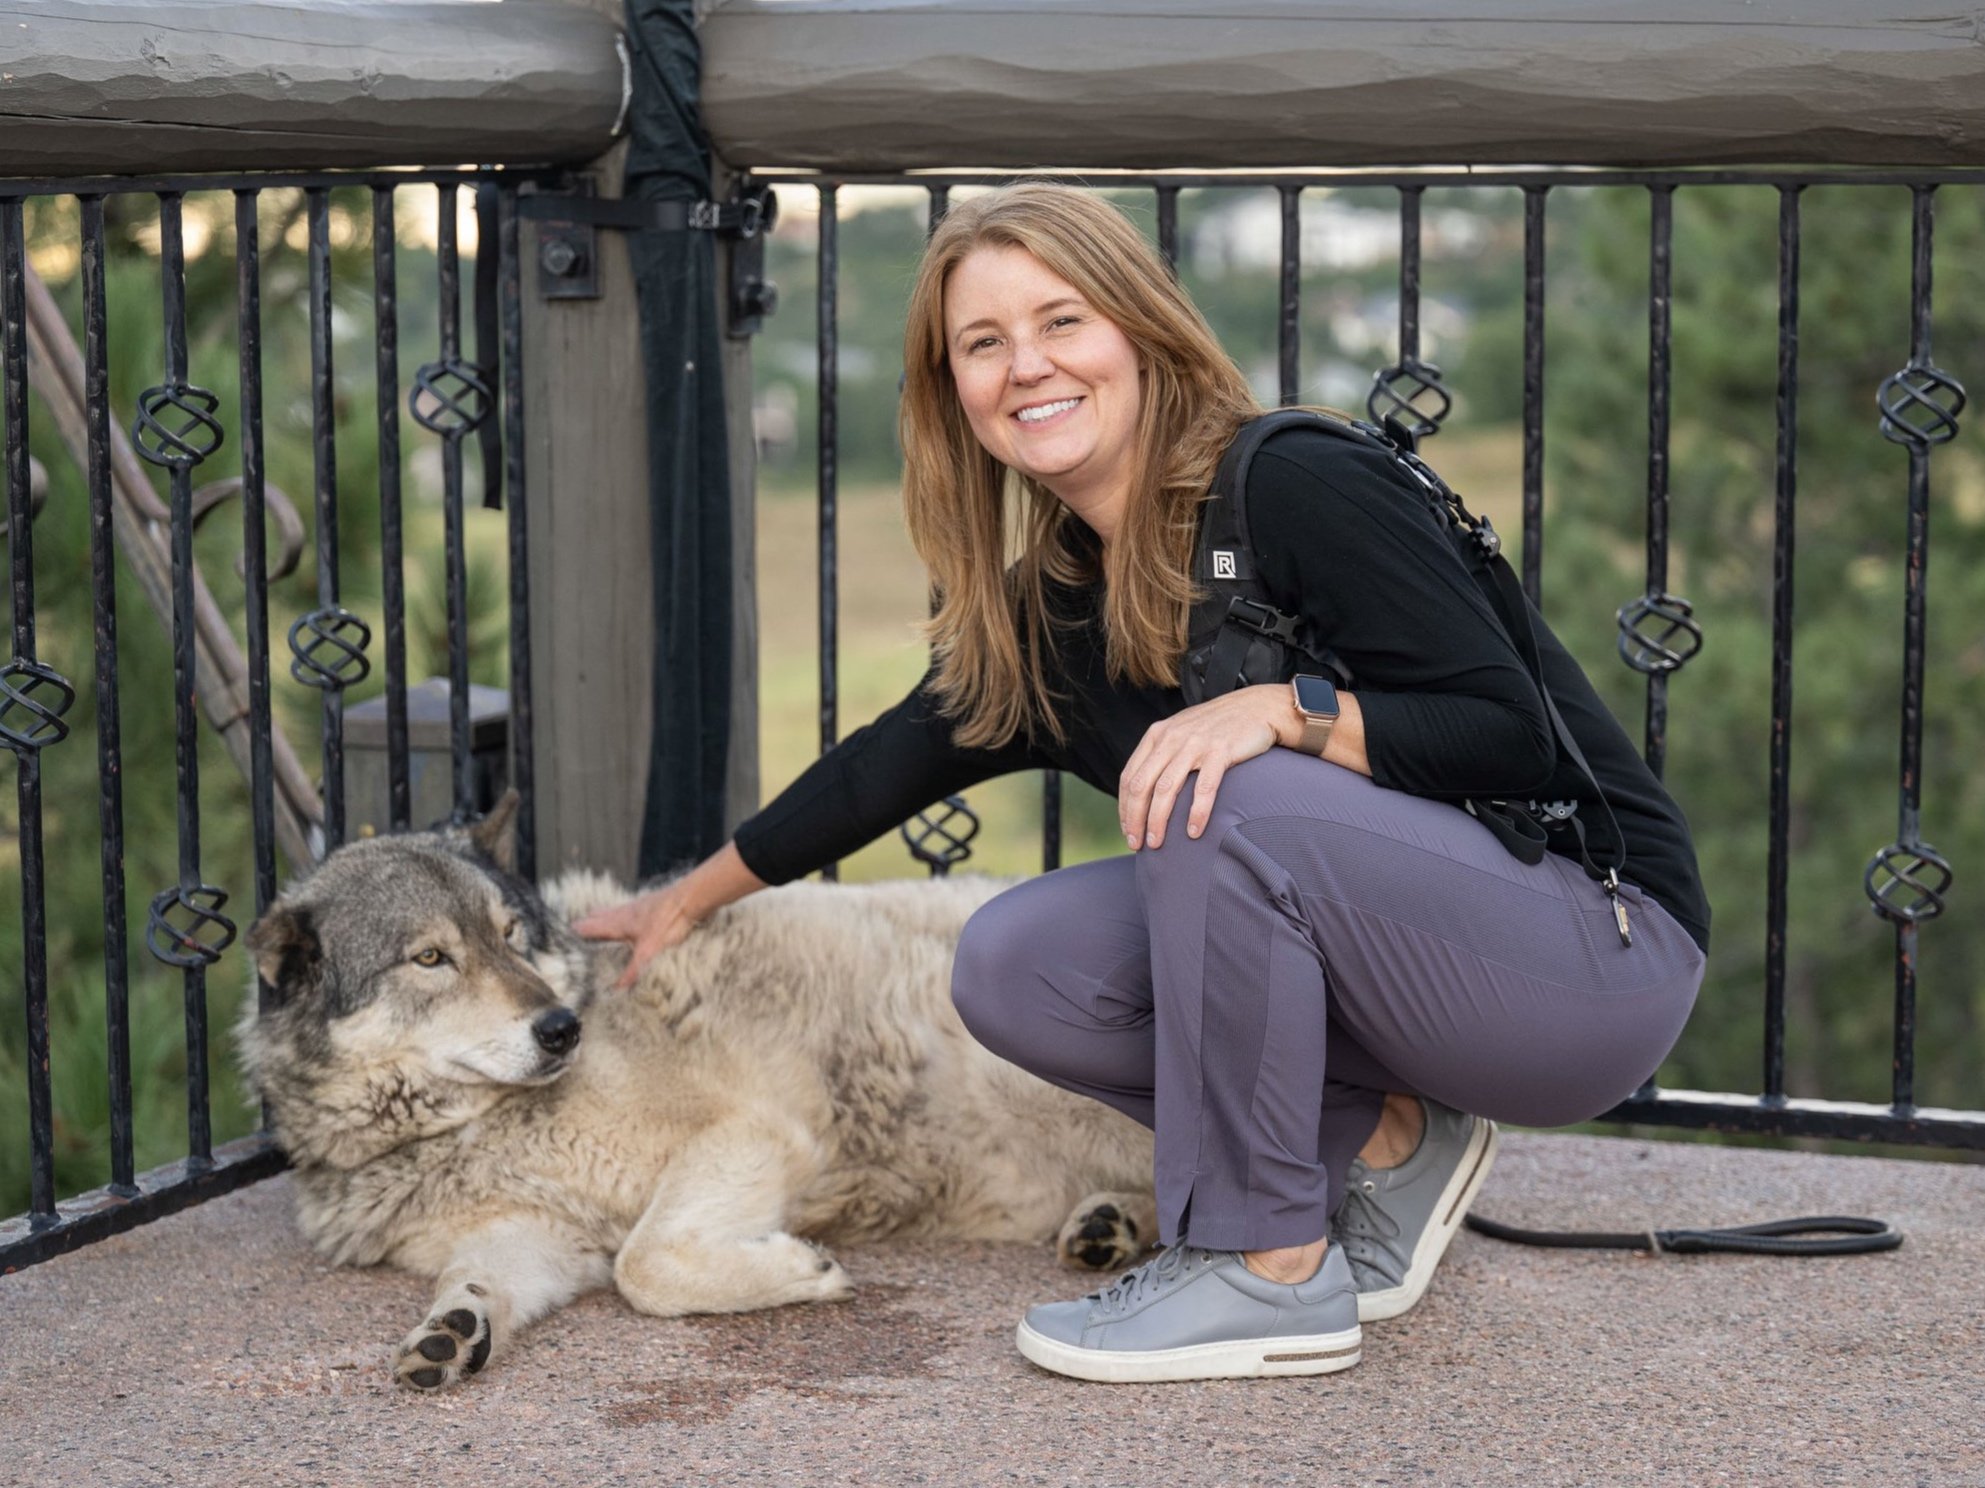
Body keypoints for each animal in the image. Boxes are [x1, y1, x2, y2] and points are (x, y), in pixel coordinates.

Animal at [238, 805, 1159, 1396]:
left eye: (508, 937)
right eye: (430, 958)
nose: (561, 1027)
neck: (469, 1127)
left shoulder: (754, 1135)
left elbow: (643, 1268)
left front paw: (801, 1272)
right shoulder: (533, 1237)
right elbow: (477, 1282)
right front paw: (451, 1334)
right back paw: (1112, 1228)